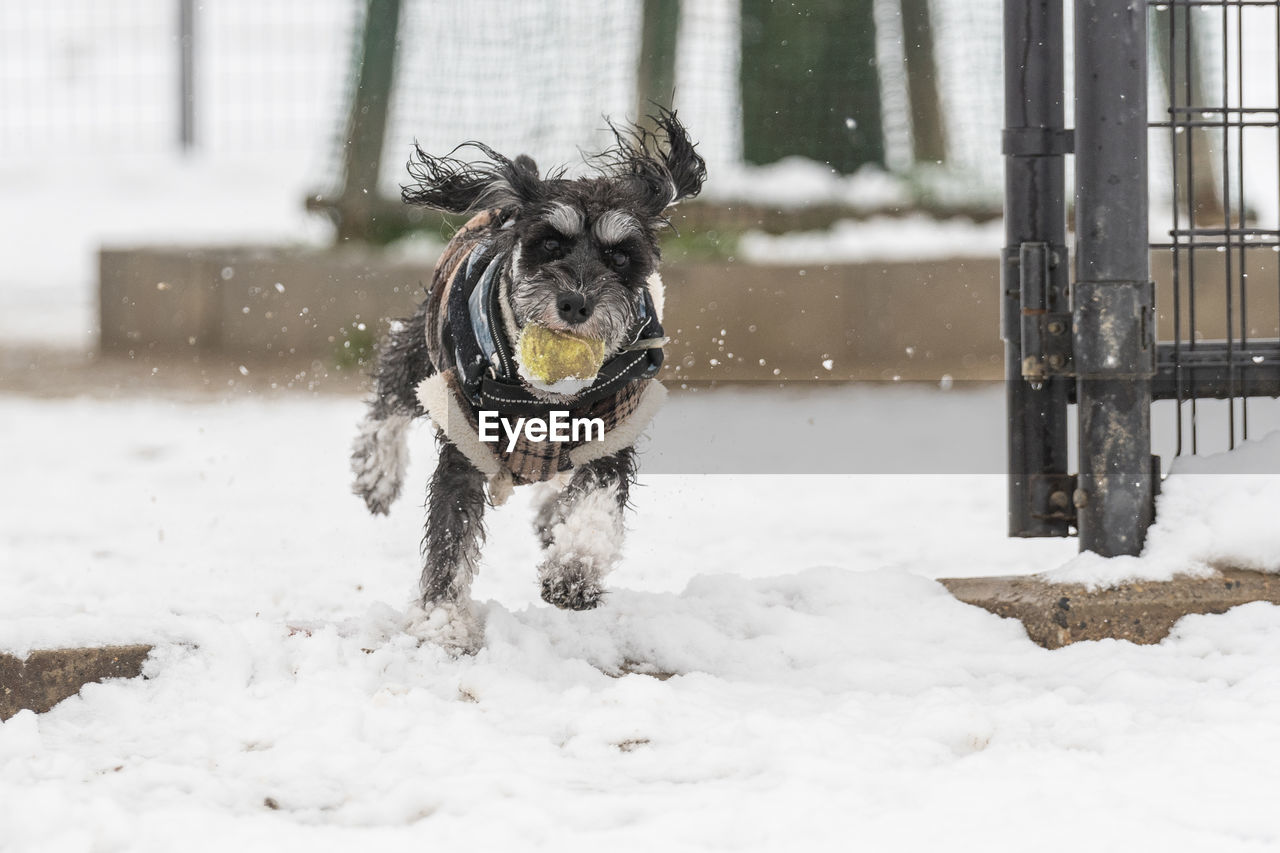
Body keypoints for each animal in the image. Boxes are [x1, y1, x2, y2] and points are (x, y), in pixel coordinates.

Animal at [350, 109, 706, 648]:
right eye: (550, 243)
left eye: (621, 257)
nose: (576, 304)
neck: (545, 395)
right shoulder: (465, 441)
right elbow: (451, 538)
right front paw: (442, 622)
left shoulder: (611, 432)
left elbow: (596, 506)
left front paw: (573, 572)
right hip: (423, 355)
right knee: (391, 391)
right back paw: (377, 471)